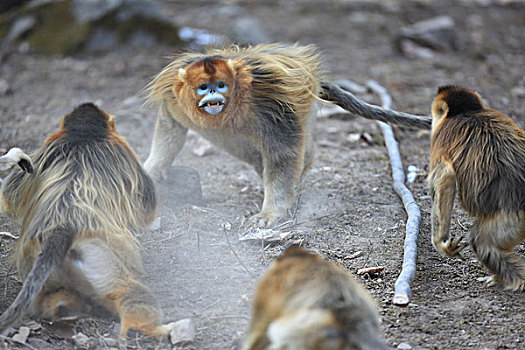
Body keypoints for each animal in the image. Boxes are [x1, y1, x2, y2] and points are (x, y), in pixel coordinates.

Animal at [0, 103, 176, 336]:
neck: (83, 135)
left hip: (33, 259)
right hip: (100, 258)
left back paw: (63, 309)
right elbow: (146, 208)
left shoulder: (48, 143)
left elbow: (9, 198)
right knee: (131, 292)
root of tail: (62, 229)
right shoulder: (121, 147)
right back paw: (148, 330)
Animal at [144, 43, 430, 227]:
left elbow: (284, 151)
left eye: (221, 85)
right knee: (250, 152)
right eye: (203, 87)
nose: (213, 94)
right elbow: (169, 125)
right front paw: (153, 169)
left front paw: (271, 212)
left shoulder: (267, 104)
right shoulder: (176, 101)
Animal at [428, 86, 524, 292]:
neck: (468, 112)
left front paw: (441, 243)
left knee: (482, 242)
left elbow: (445, 176)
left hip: (513, 218)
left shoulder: (439, 140)